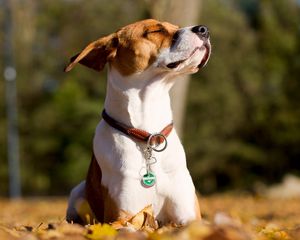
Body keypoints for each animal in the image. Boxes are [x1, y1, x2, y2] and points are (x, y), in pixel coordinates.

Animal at [65, 18, 211, 225]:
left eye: (176, 26)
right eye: (155, 30)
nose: (204, 29)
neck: (148, 132)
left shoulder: (189, 216)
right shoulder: (123, 217)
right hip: (77, 194)